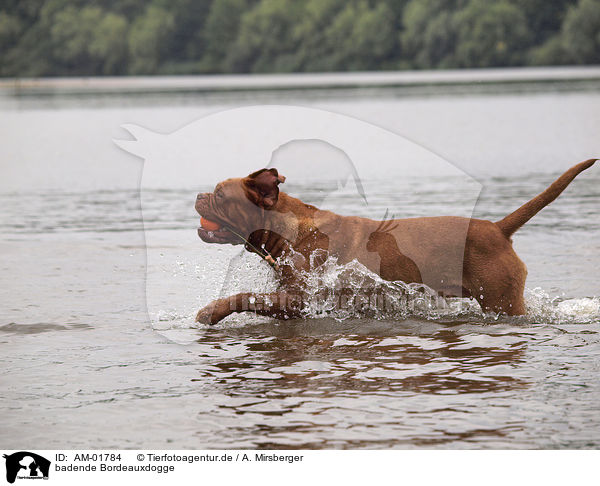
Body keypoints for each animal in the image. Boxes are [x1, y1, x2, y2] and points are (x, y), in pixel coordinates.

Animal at [196, 161, 596, 324]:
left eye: (220, 194)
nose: (199, 194)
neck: (290, 231)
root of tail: (497, 229)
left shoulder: (301, 300)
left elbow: (244, 296)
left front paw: (209, 312)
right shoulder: (293, 302)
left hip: (503, 300)